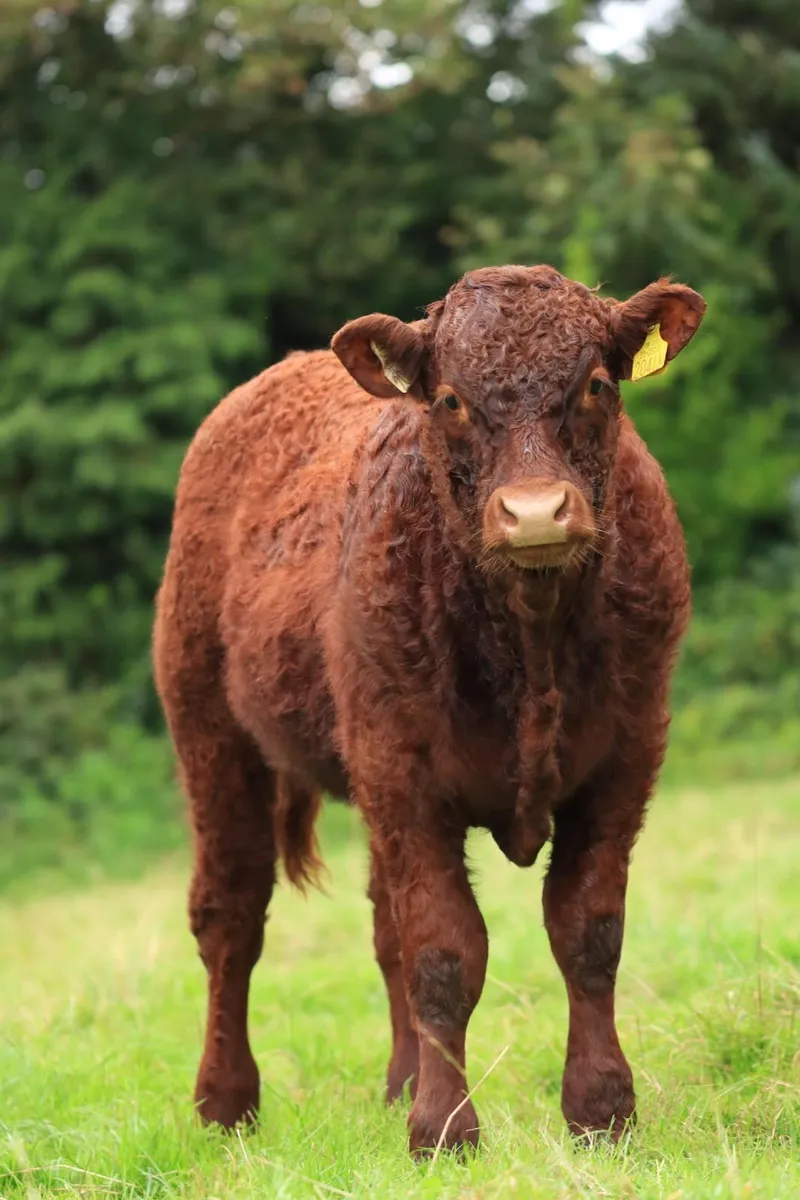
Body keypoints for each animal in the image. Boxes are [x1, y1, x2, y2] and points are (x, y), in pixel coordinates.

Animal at [153, 264, 705, 1155]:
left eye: (594, 384)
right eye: (450, 399)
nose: (536, 513)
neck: (529, 639)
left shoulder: (624, 760)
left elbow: (587, 932)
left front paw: (600, 1108)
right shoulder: (405, 774)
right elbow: (445, 951)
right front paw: (445, 1128)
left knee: (383, 928)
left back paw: (400, 1082)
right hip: (211, 734)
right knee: (230, 915)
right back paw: (225, 1103)